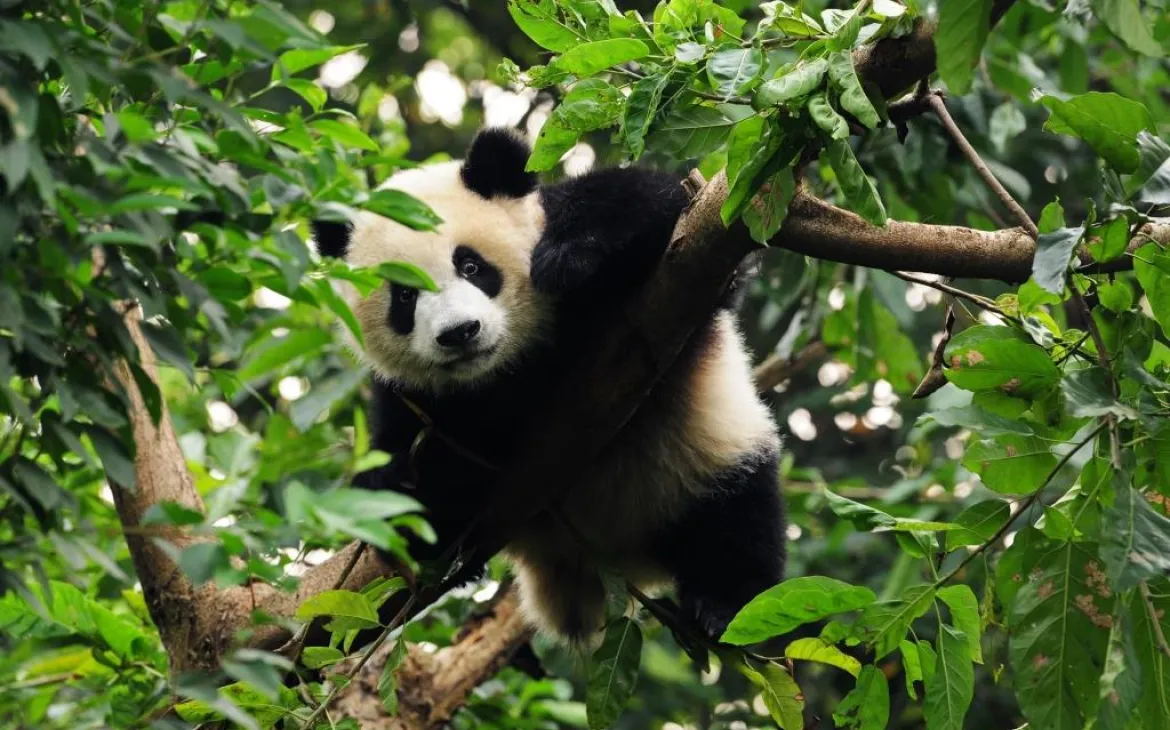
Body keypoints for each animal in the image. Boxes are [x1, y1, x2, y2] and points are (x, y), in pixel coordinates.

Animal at [312, 128, 786, 644]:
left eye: (471, 266)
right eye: (403, 296)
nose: (460, 332)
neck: (513, 367)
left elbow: (658, 205)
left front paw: (569, 255)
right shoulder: (416, 400)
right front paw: (394, 481)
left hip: (700, 456)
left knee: (736, 521)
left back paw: (721, 607)